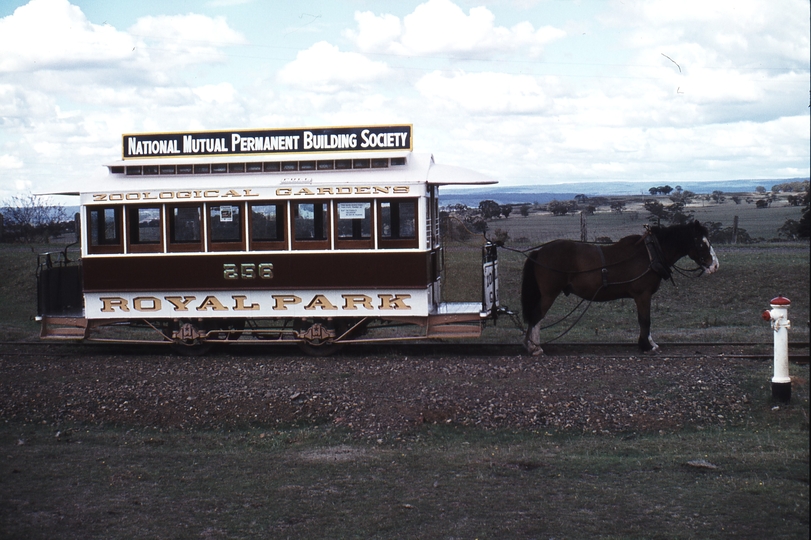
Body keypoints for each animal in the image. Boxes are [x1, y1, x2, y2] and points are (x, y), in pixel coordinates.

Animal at [524, 219, 720, 354]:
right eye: (702, 243)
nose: (715, 265)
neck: (650, 254)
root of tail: (539, 252)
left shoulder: (644, 296)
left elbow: (646, 320)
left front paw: (650, 343)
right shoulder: (642, 294)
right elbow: (645, 320)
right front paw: (646, 346)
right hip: (549, 293)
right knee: (537, 315)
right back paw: (535, 348)